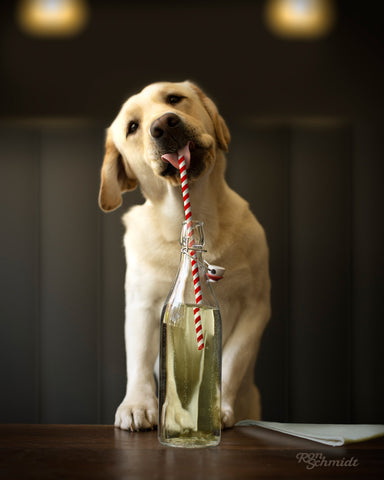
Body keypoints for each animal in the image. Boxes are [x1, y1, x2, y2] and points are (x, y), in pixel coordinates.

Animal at [99, 79, 272, 432]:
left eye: (174, 99)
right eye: (132, 127)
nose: (164, 124)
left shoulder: (256, 306)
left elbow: (233, 359)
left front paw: (216, 408)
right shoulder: (142, 305)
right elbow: (139, 360)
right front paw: (137, 406)